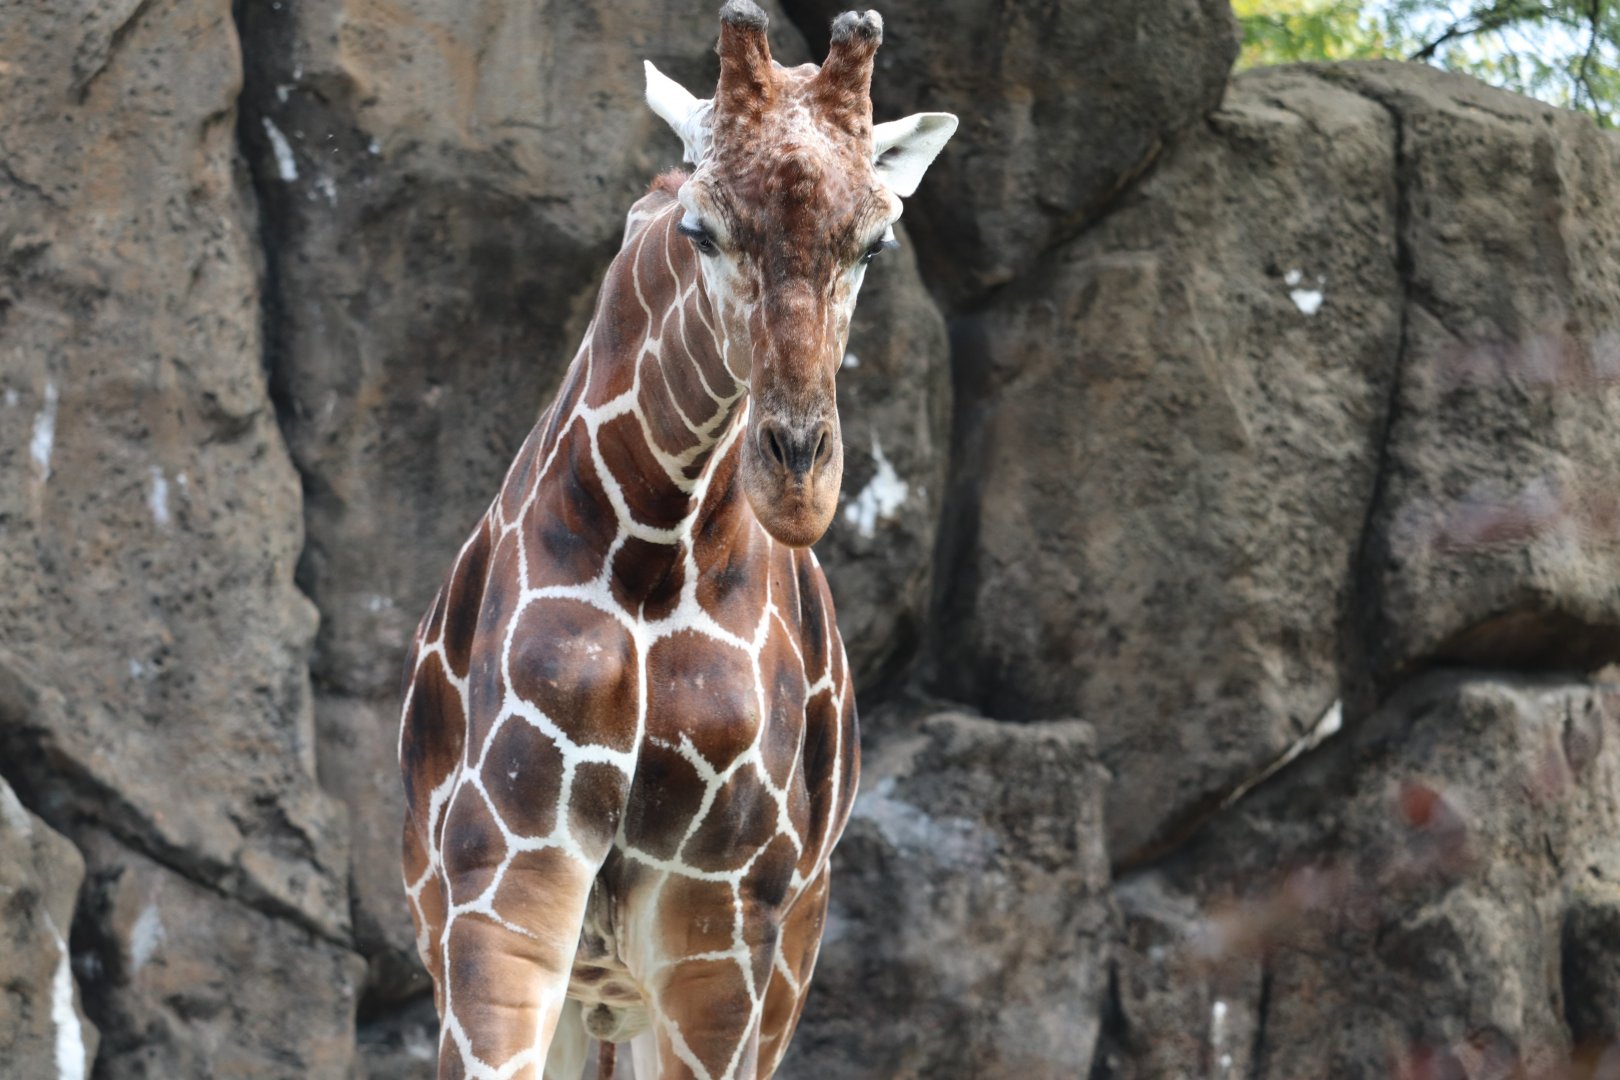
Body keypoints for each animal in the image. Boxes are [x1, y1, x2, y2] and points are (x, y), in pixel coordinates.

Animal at [398, 4, 955, 1077]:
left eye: (874, 244)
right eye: (702, 228)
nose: (798, 480)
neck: (654, 547)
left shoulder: (721, 912)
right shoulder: (504, 876)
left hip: (780, 958)